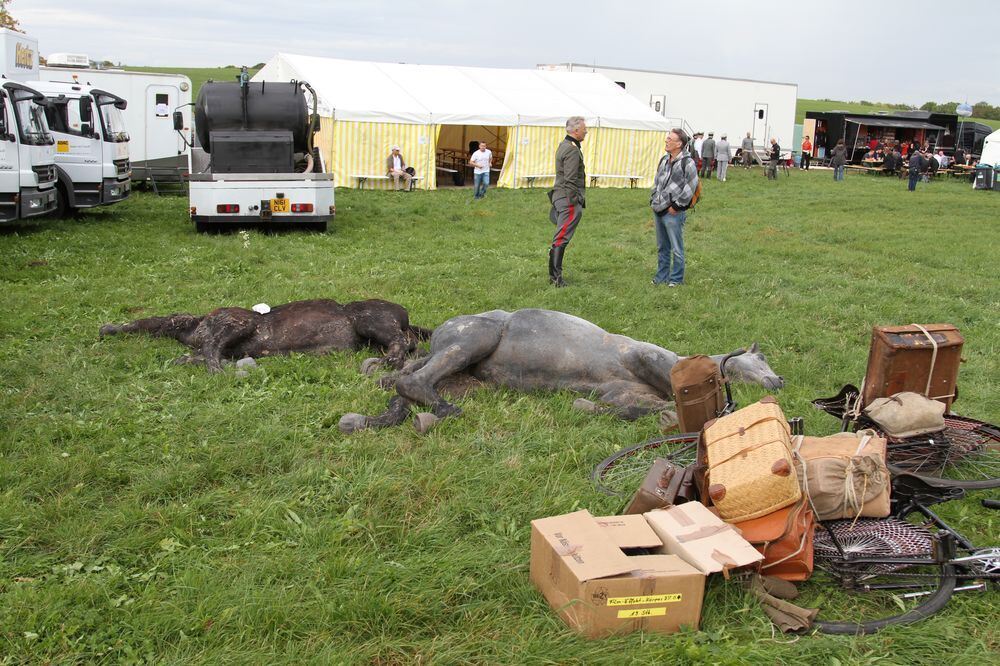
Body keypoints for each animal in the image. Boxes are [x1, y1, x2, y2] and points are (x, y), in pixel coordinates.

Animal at [340, 308, 784, 434]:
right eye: (761, 358)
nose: (778, 380)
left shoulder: (620, 393)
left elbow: (636, 407)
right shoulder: (646, 358)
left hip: (465, 377)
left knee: (400, 383)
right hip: (475, 339)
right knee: (412, 381)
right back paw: (441, 410)